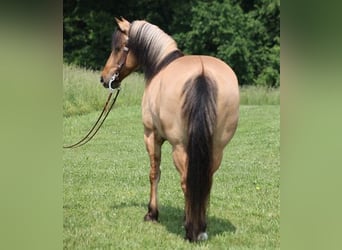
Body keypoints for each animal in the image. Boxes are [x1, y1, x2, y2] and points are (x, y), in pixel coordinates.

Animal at [99, 17, 239, 242]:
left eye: (119, 48)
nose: (105, 78)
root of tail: (202, 73)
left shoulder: (151, 136)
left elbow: (154, 173)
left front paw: (152, 213)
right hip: (216, 148)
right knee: (204, 182)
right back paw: (201, 227)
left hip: (179, 147)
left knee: (186, 182)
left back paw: (191, 230)